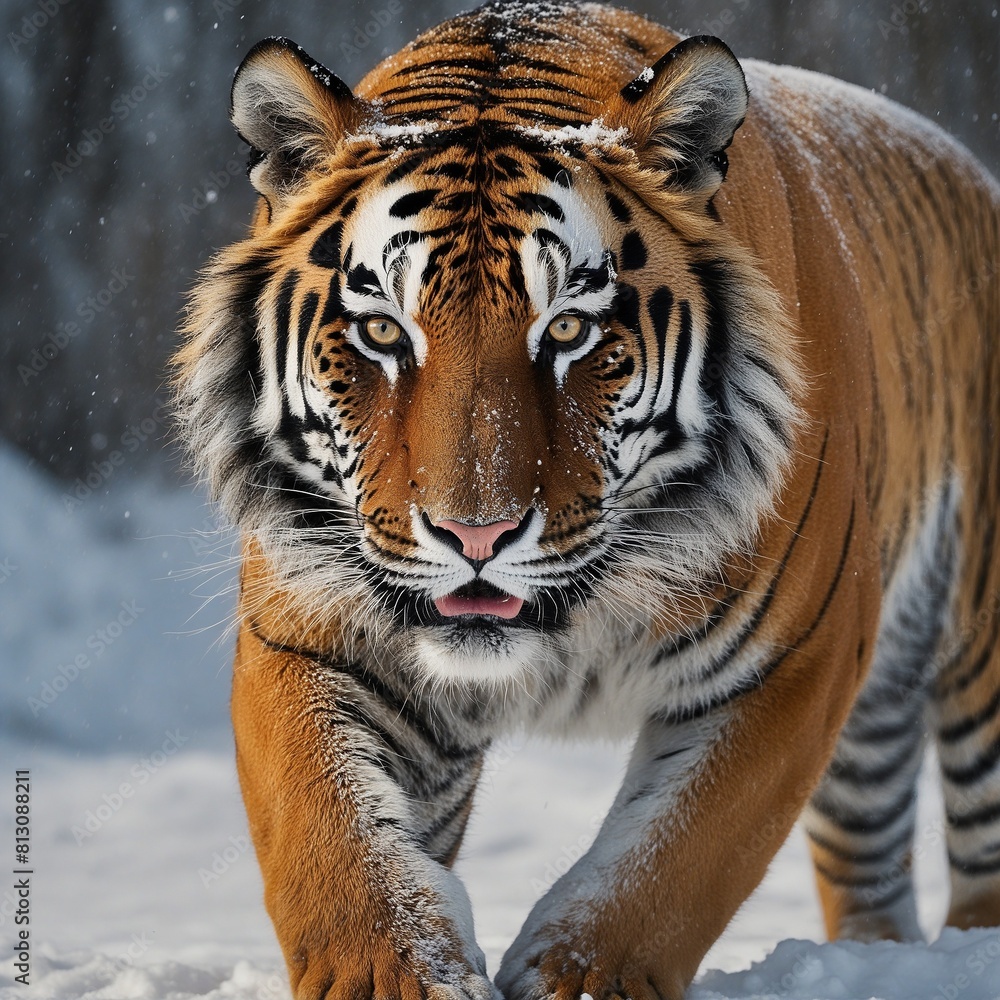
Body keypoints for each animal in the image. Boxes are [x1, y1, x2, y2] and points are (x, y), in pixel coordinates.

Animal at [171, 2, 1000, 998]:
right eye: (382, 332)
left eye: (567, 328)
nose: (474, 534)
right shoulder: (312, 634)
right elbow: (332, 839)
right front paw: (393, 975)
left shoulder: (801, 651)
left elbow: (674, 857)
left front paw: (578, 977)